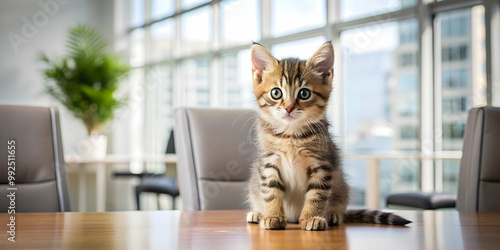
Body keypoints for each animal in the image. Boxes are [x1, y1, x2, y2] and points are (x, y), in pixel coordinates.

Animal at [246, 41, 410, 230]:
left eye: (304, 93)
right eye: (276, 93)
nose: (288, 108)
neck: (291, 136)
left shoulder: (322, 164)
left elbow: (317, 194)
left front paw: (312, 217)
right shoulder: (269, 162)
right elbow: (271, 191)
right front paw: (273, 215)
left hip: (342, 189)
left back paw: (333, 215)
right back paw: (258, 213)